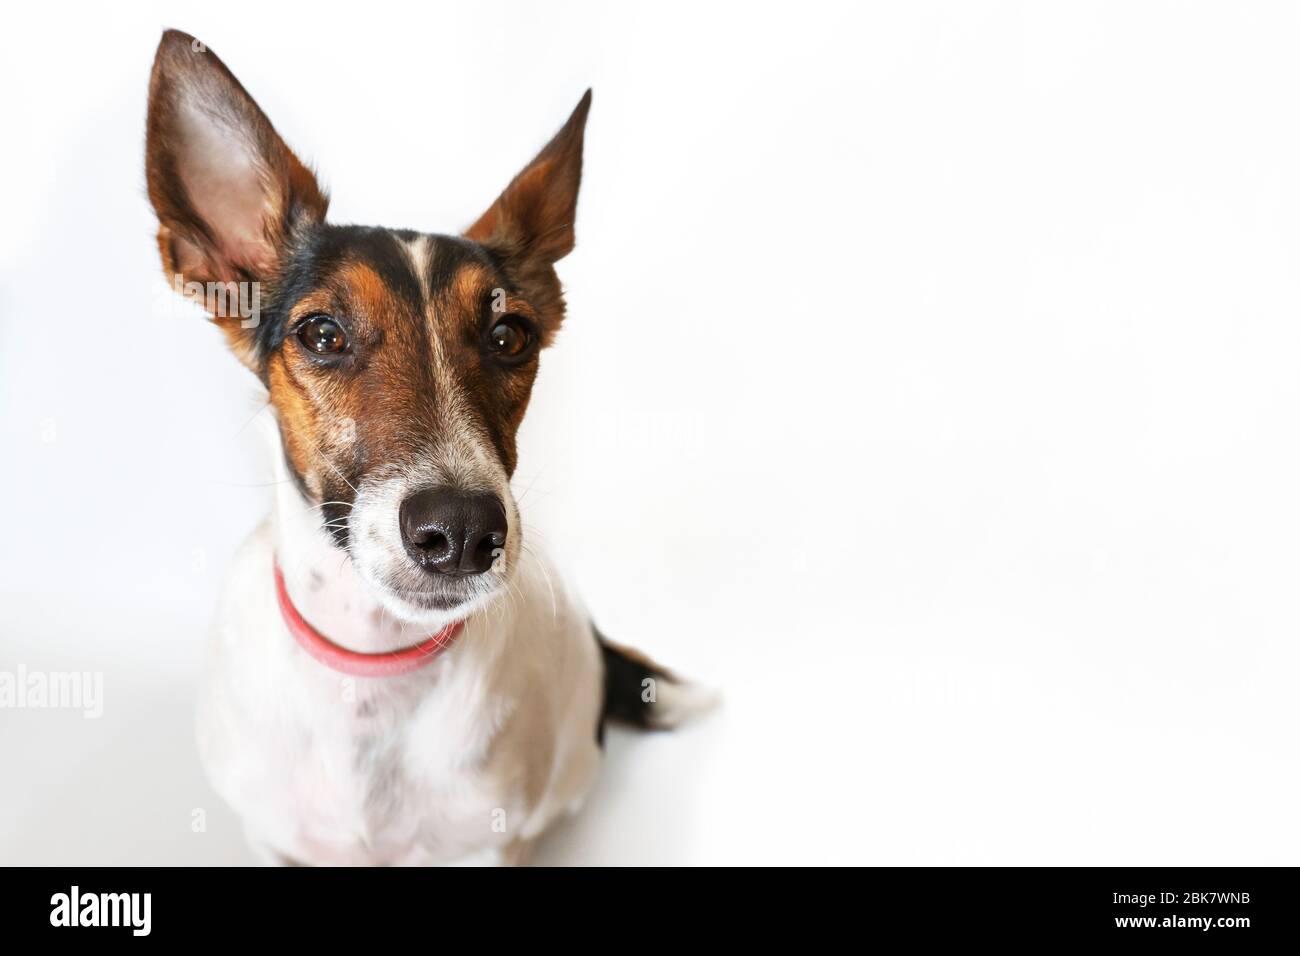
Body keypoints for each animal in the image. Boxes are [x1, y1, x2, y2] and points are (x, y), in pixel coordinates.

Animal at [147, 29, 717, 868]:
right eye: (322, 334)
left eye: (509, 337)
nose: (463, 531)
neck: (374, 666)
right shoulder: (272, 838)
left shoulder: (486, 846)